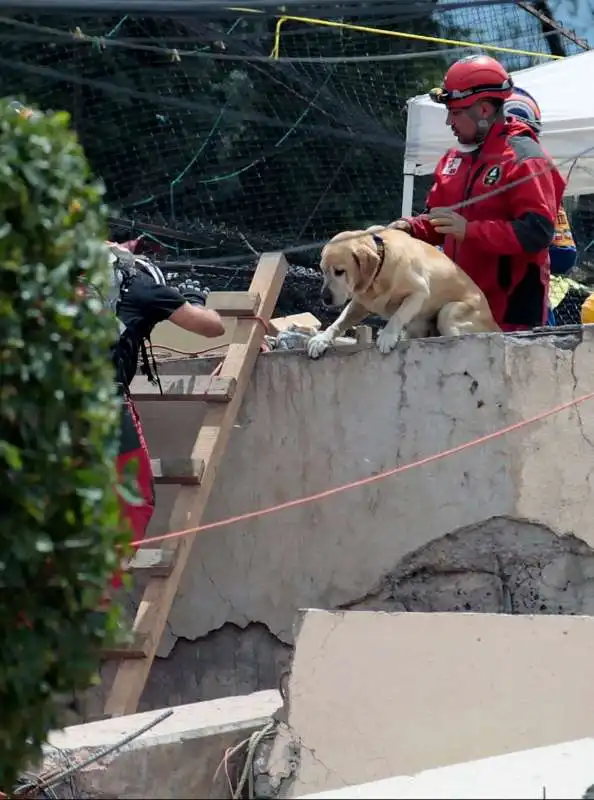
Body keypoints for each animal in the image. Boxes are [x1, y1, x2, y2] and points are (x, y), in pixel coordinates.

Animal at [306, 228, 500, 360]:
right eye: (323, 271)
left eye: (339, 271)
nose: (325, 299)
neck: (380, 268)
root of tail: (496, 326)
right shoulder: (359, 304)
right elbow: (338, 322)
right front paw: (321, 339)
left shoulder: (420, 291)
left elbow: (398, 315)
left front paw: (387, 336)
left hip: (449, 311)